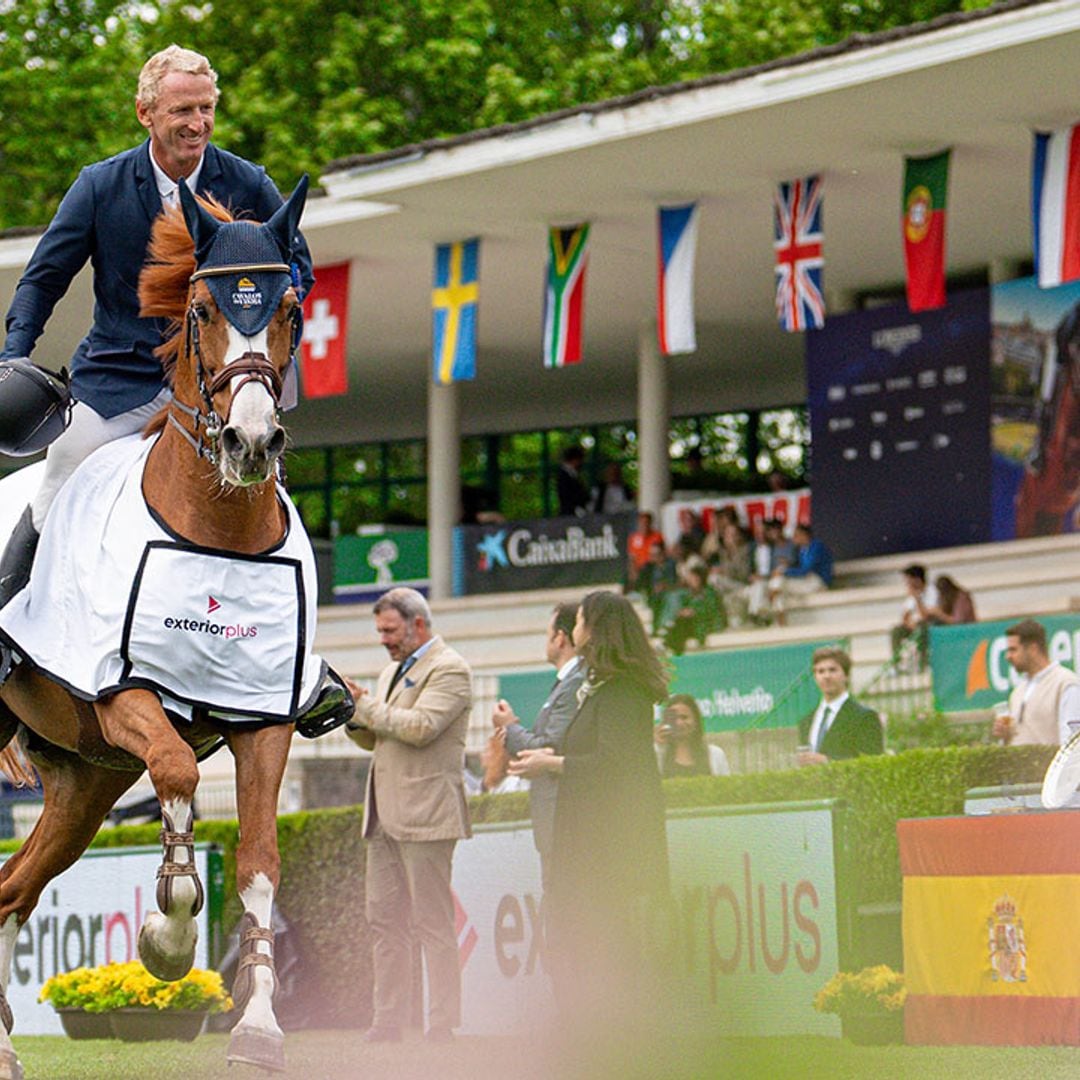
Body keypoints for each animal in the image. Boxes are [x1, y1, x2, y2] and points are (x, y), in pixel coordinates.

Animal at [0, 177, 313, 1071]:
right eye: (202, 309)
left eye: (291, 308)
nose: (251, 442)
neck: (218, 529)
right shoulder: (124, 699)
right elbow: (175, 773)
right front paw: (167, 941)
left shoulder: (264, 720)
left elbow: (259, 859)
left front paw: (259, 1026)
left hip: (85, 785)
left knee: (12, 892)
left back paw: (3, 1048)